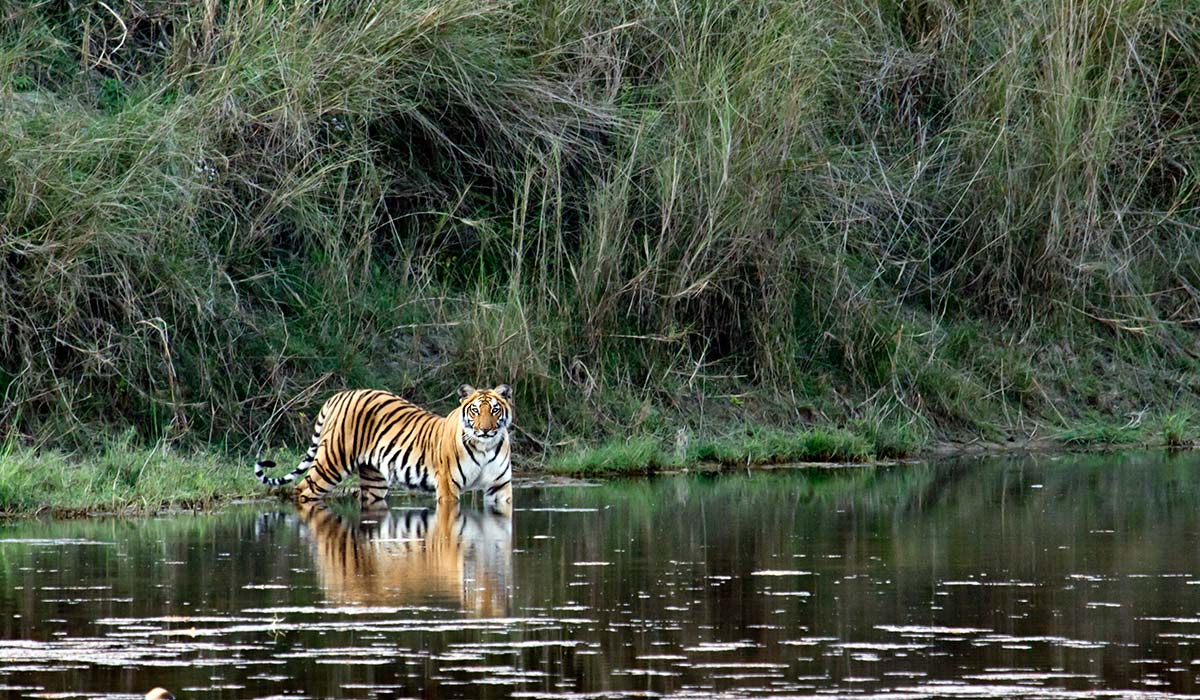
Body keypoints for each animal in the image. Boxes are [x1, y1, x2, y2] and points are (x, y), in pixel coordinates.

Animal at [255, 386, 513, 511]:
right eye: (475, 410)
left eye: (495, 410)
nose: (485, 430)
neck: (485, 446)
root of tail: (339, 395)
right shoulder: (448, 487)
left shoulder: (500, 487)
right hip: (331, 463)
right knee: (301, 490)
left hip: (374, 479)